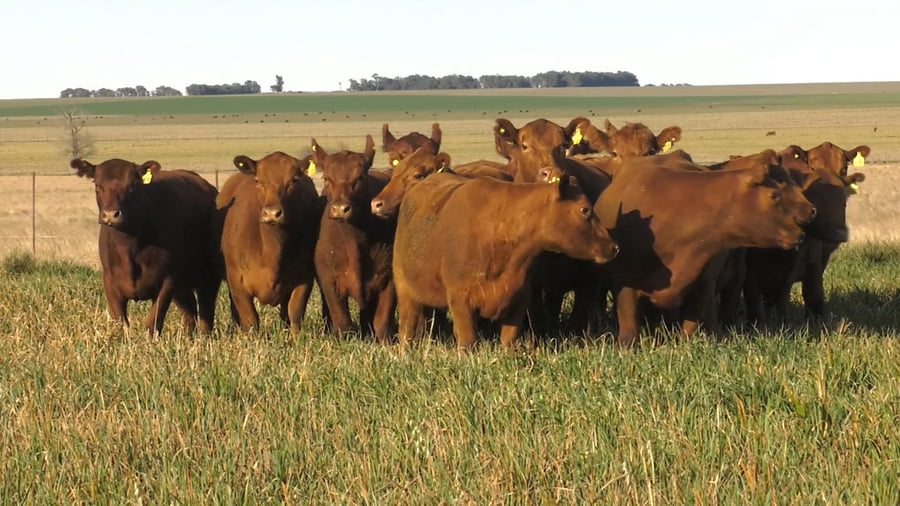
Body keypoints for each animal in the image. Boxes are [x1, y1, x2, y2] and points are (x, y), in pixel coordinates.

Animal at [71, 158, 220, 336]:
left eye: (132, 185)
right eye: (98, 185)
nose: (111, 215)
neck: (129, 247)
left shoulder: (167, 281)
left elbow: (153, 322)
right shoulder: (110, 282)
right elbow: (121, 323)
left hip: (210, 276)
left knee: (206, 308)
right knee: (190, 312)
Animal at [216, 151, 322, 333]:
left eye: (293, 180)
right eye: (258, 180)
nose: (272, 213)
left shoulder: (305, 279)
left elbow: (294, 313)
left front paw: (295, 337)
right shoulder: (237, 282)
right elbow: (250, 319)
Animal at [312, 135, 396, 343]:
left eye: (360, 178)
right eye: (326, 179)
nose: (340, 208)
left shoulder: (388, 279)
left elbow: (382, 320)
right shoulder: (329, 280)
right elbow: (342, 320)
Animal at [393, 173, 619, 350]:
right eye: (585, 210)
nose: (614, 247)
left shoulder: (519, 297)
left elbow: (508, 340)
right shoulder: (460, 300)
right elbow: (468, 340)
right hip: (404, 290)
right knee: (407, 326)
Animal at [594, 153, 817, 347]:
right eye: (774, 195)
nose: (800, 233)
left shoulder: (703, 284)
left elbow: (691, 325)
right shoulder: (624, 284)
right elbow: (628, 323)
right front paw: (626, 348)